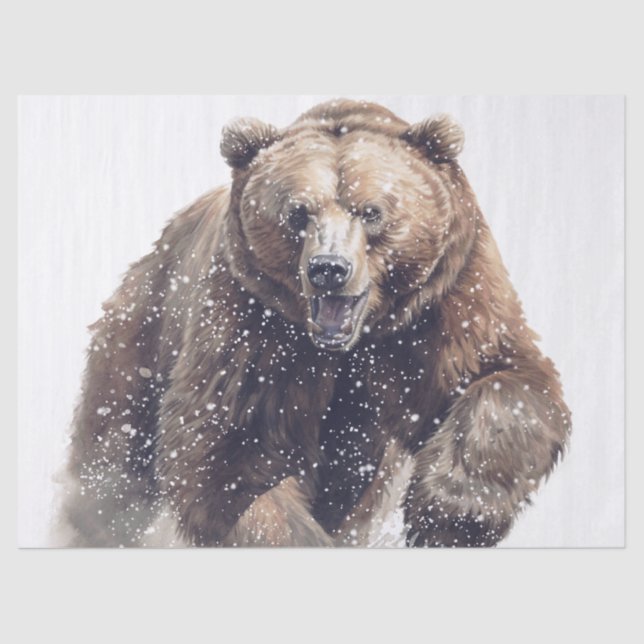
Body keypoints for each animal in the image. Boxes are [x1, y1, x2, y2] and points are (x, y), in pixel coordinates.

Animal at [60, 99, 571, 547]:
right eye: (297, 212)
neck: (351, 344)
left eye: (372, 211)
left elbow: (507, 378)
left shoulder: (446, 303)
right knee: (111, 471)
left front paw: (447, 512)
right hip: (142, 336)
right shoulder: (250, 324)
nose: (329, 268)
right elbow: (223, 454)